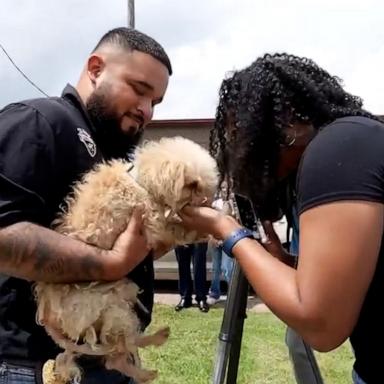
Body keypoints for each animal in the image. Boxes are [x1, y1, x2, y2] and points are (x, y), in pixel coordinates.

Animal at [35, 136, 219, 382]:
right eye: (193, 186)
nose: (208, 202)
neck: (140, 182)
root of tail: (48, 315)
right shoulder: (153, 224)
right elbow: (180, 228)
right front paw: (205, 230)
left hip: (116, 305)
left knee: (118, 354)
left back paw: (149, 362)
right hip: (112, 308)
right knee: (121, 350)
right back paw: (151, 358)